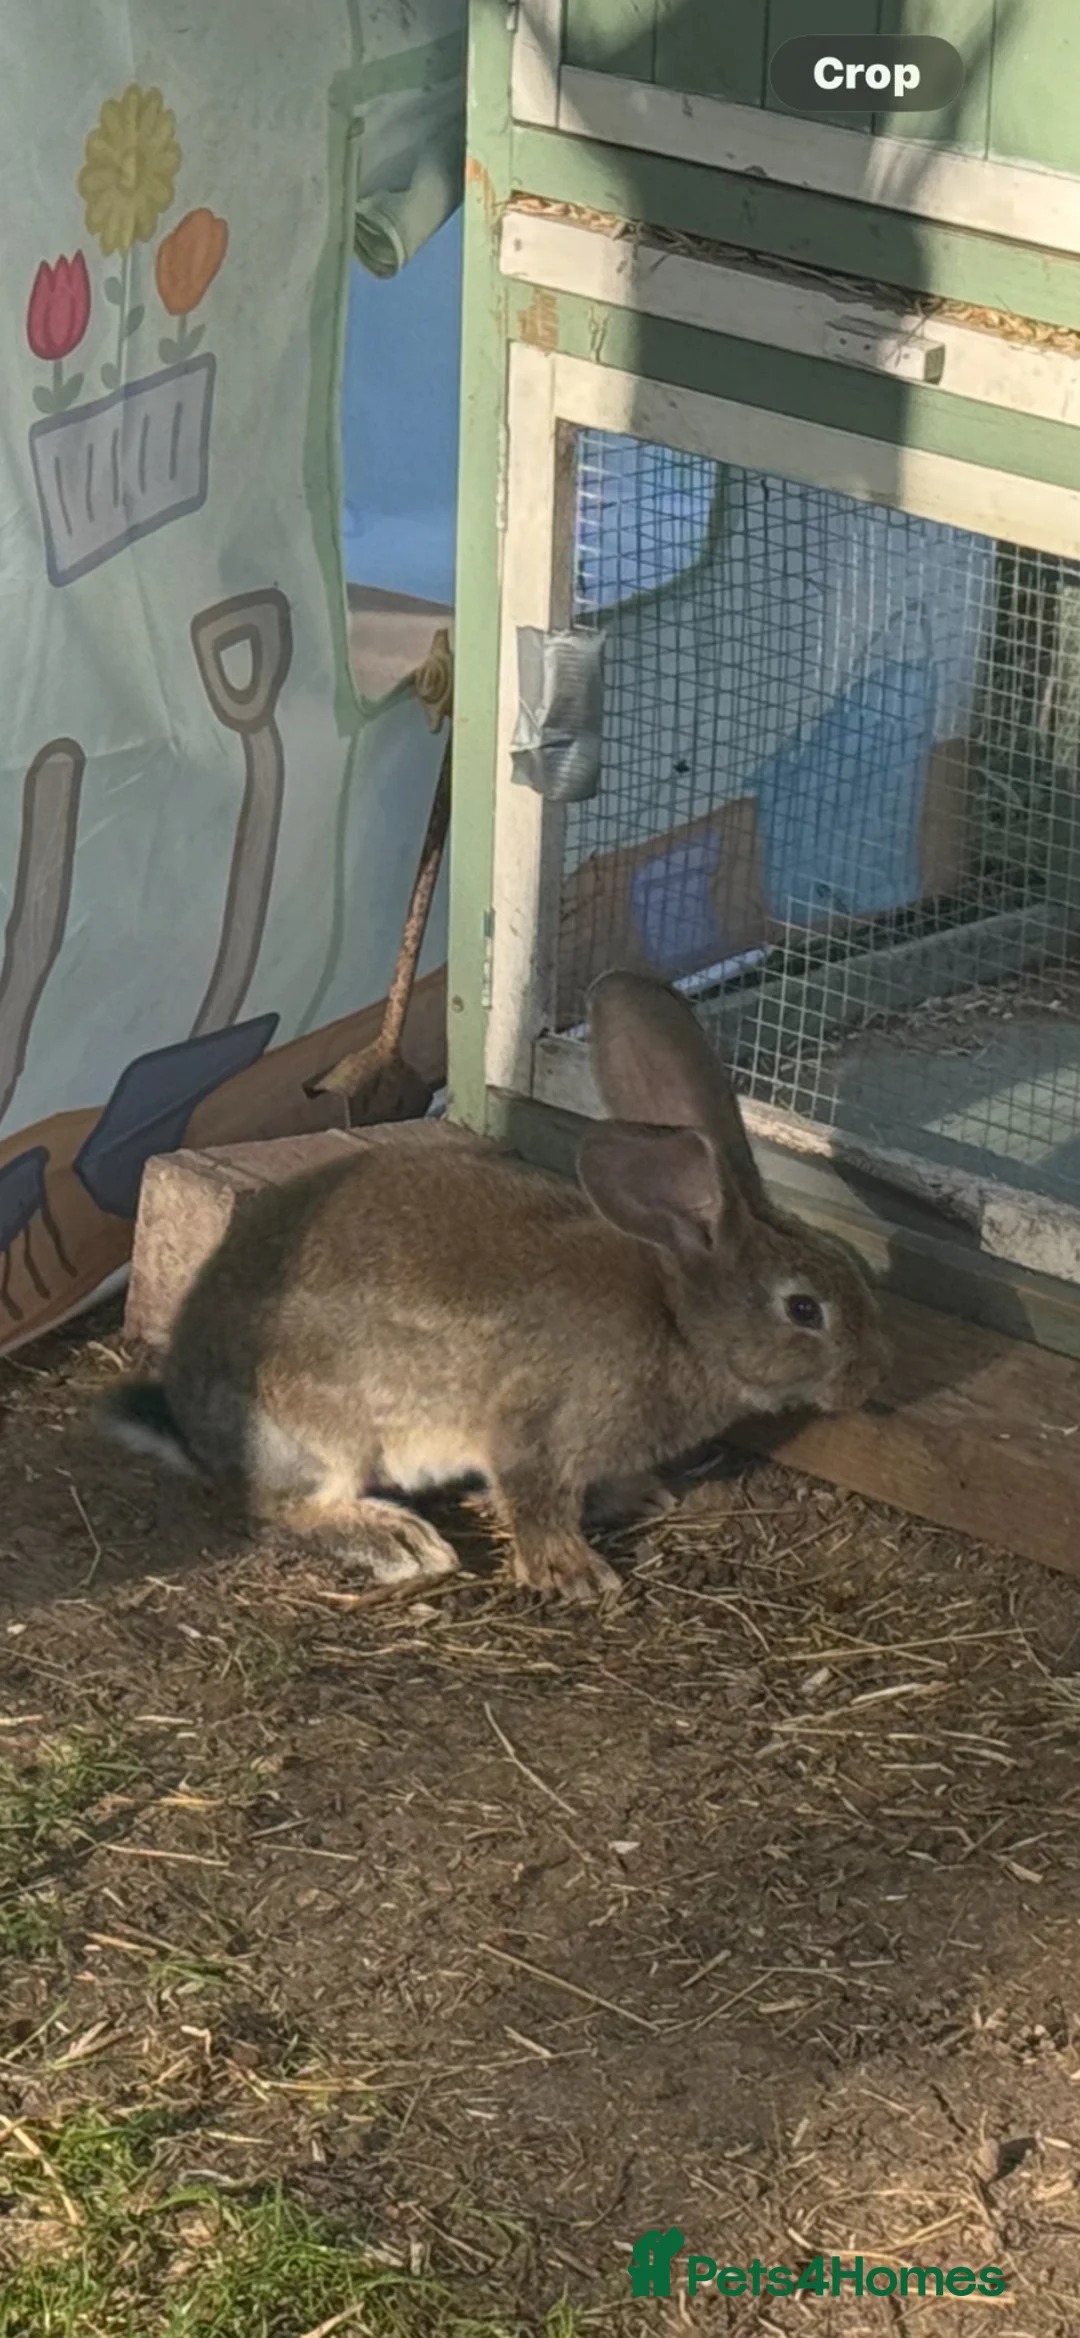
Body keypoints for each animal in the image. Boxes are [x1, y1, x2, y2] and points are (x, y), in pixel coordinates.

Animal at [97, 968, 889, 1602]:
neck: (680, 1322)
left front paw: (636, 1495)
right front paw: (573, 1572)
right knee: (281, 1508)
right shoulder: (538, 1431)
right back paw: (398, 1540)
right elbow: (535, 1498)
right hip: (319, 1433)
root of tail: (194, 1428)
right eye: (804, 1309)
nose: (865, 1383)